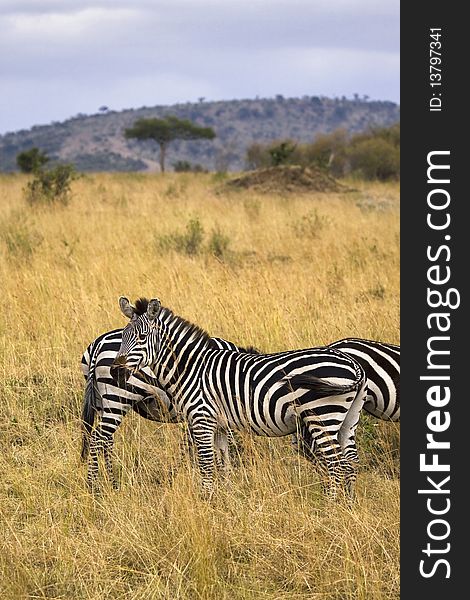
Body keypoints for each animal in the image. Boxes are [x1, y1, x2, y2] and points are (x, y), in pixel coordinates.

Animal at [80, 324, 258, 488]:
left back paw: (113, 484)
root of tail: (99, 342)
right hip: (118, 397)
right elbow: (205, 447)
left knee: (106, 440)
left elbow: (194, 446)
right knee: (97, 438)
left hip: (102, 402)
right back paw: (93, 487)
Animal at [113, 298, 368, 500]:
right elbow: (223, 463)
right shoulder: (219, 424)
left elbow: (206, 464)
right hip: (348, 419)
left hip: (322, 416)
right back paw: (348, 505)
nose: (116, 371)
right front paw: (225, 498)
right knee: (350, 462)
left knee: (335, 463)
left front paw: (206, 500)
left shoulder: (201, 418)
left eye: (142, 337)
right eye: (123, 337)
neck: (191, 369)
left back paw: (330, 506)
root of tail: (353, 364)